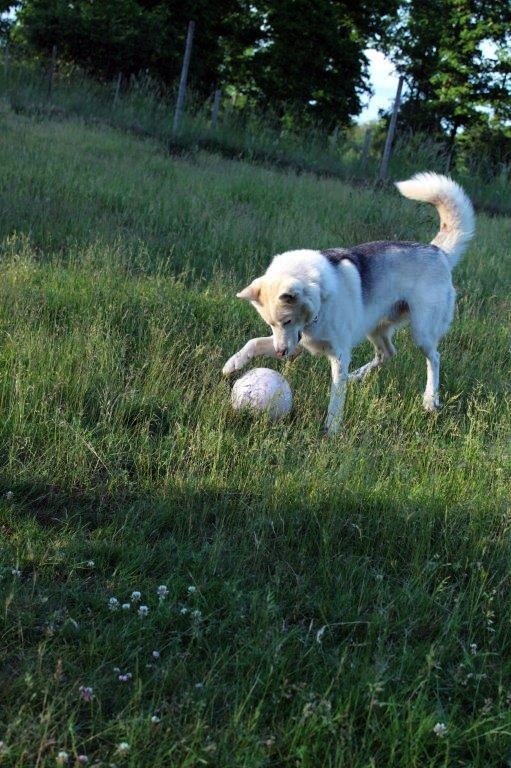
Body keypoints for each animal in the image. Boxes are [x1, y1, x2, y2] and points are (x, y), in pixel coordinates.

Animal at [223, 173, 475, 435]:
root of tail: (438, 251)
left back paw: (430, 399)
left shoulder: (337, 354)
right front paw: (233, 363)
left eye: (287, 320)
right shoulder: (297, 343)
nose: (282, 354)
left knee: (434, 358)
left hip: (422, 332)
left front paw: (332, 429)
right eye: (271, 324)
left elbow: (336, 392)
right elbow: (254, 342)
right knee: (387, 354)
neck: (320, 301)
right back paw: (357, 376)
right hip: (376, 328)